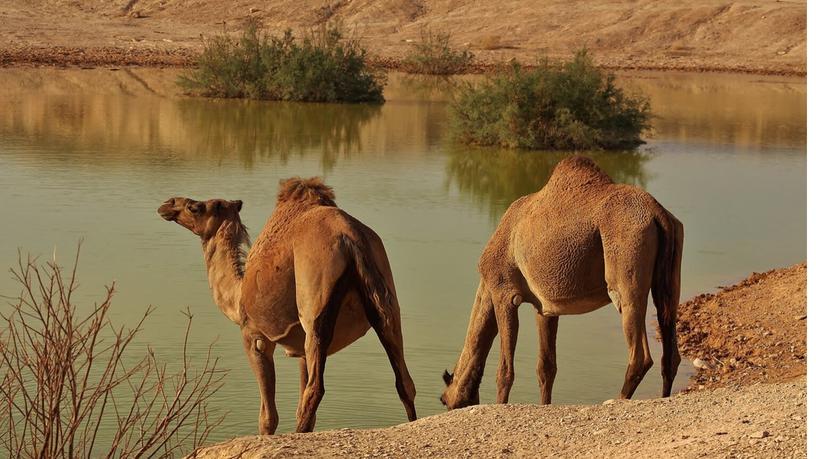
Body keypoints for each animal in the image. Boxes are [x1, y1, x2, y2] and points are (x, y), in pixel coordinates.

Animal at [157, 179, 418, 434]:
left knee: (315, 389)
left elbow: (268, 417)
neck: (237, 295)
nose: (167, 204)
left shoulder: (255, 336)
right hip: (386, 298)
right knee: (403, 380)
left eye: (195, 207)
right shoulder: (300, 347)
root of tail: (350, 238)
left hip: (314, 302)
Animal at [440, 157, 684, 410]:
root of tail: (658, 213)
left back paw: (616, 400)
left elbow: (505, 371)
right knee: (669, 345)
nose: (447, 403)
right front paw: (544, 405)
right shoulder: (545, 307)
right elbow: (546, 367)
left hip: (626, 262)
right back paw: (663, 396)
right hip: (670, 271)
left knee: (639, 350)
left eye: (443, 400)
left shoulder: (503, 292)